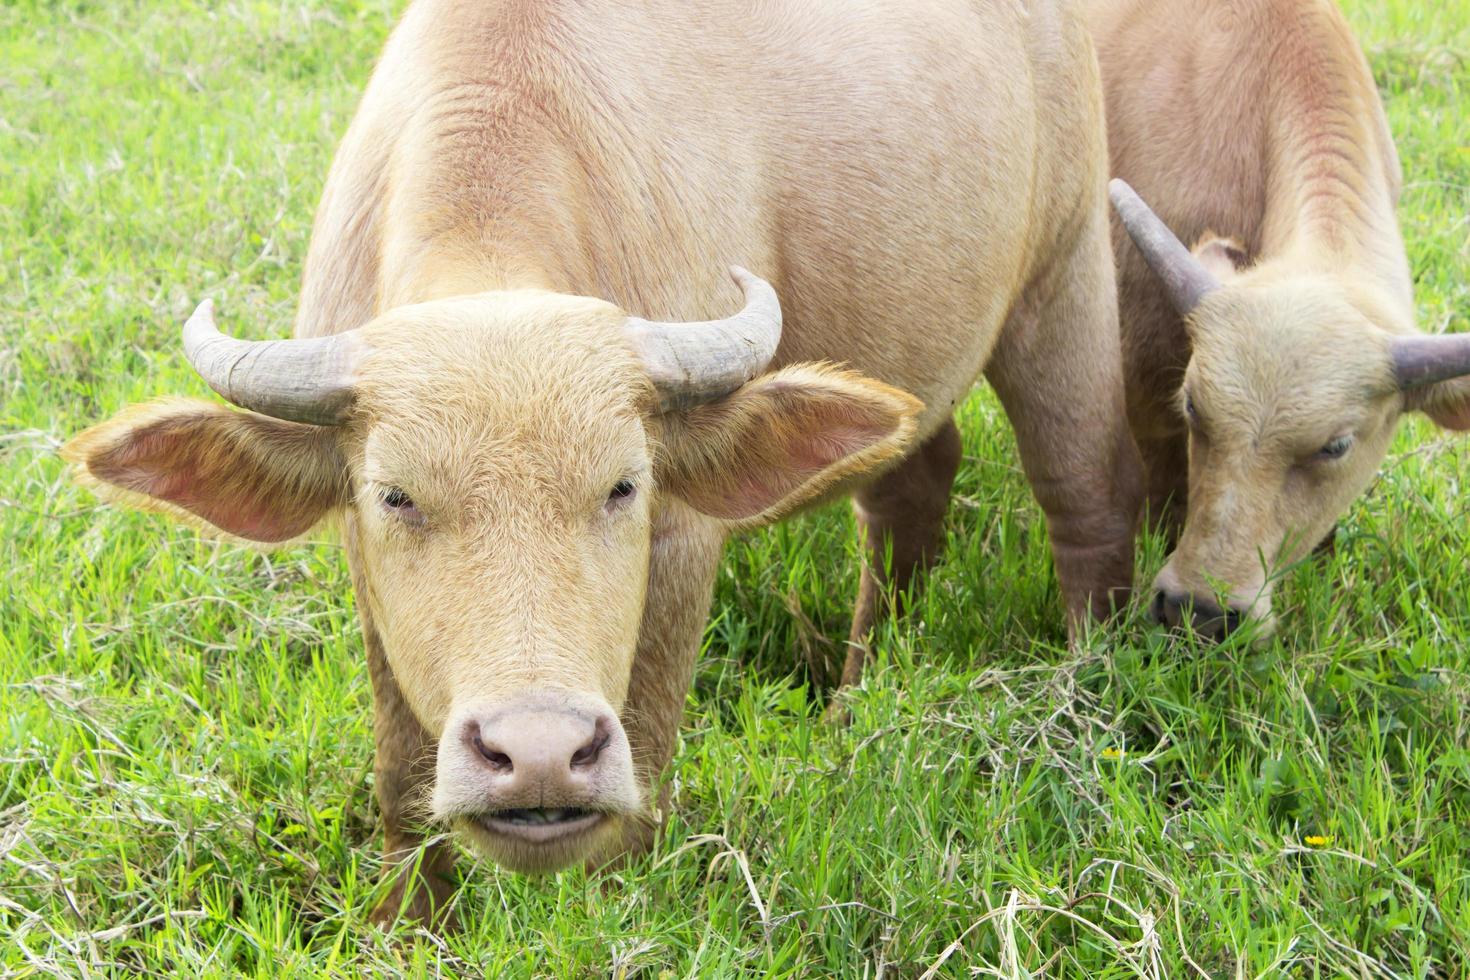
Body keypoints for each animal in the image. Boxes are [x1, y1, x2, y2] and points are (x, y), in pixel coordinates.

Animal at [63, 0, 1140, 922]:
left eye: (623, 485)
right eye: (394, 495)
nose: (538, 754)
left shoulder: (681, 547)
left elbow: (646, 761)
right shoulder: (366, 576)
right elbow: (400, 775)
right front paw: (408, 926)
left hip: (1066, 264)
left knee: (1087, 488)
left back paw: (1089, 697)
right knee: (910, 487)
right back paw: (855, 705)